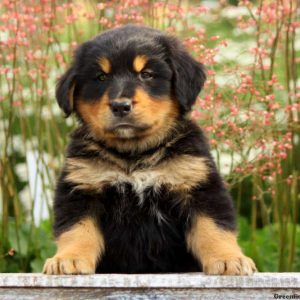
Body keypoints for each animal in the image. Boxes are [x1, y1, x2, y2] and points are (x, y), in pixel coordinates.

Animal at [43, 25, 256, 274]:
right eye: (101, 77)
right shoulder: (81, 188)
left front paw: (229, 259)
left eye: (146, 74)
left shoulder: (198, 186)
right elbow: (76, 230)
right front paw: (68, 259)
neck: (134, 153)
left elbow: (213, 228)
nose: (120, 106)